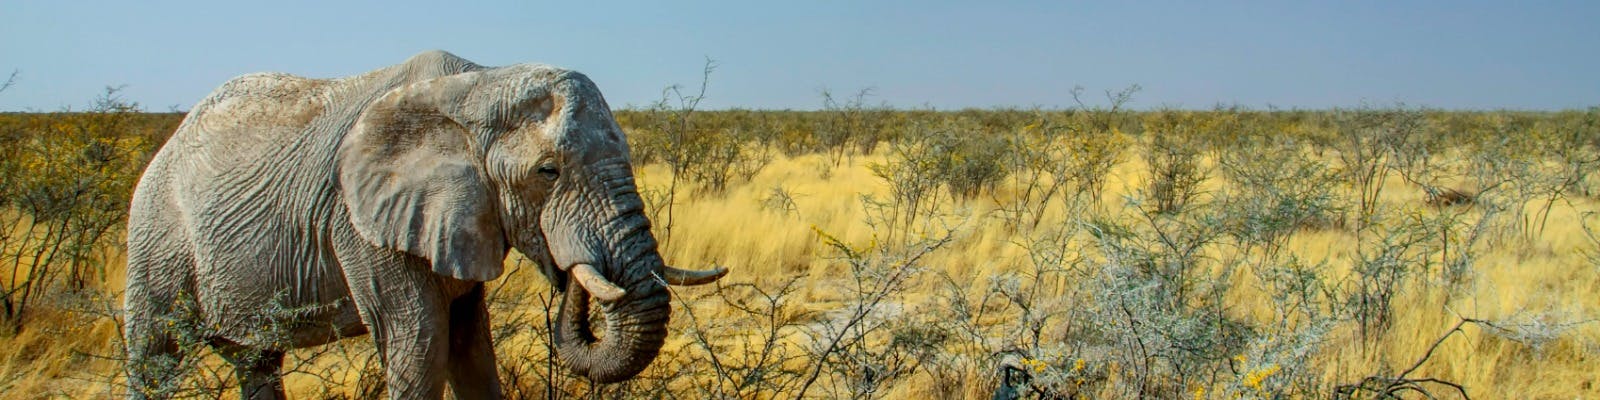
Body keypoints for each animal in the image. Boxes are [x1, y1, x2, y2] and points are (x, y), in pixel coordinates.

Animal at [121, 50, 729, 400]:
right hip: (154, 235)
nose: (569, 275)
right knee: (154, 359)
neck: (478, 85)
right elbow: (419, 345)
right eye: (547, 172)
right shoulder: (359, 223)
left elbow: (470, 350)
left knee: (256, 361)